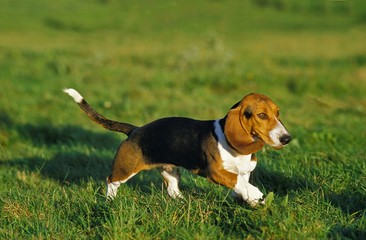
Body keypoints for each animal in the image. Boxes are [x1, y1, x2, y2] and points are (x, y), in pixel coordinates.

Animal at [63, 89, 292, 207]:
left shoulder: (244, 172)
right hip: (125, 168)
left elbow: (241, 183)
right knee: (111, 181)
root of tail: (135, 130)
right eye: (261, 115)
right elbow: (238, 182)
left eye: (278, 113)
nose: (287, 138)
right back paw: (110, 200)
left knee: (172, 191)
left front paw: (250, 199)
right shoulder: (216, 172)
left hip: (170, 170)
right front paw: (255, 194)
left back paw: (184, 200)